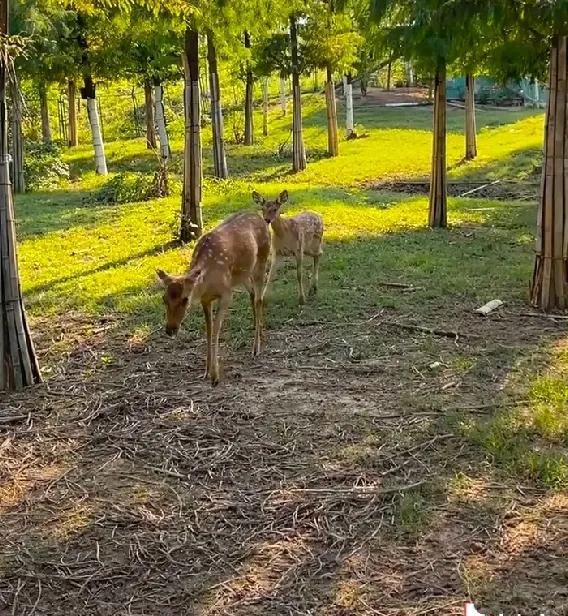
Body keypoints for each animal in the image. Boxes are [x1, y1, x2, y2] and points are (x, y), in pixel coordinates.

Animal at [155, 212, 270, 384]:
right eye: (164, 299)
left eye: (185, 299)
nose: (170, 329)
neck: (206, 285)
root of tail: (262, 218)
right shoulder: (205, 300)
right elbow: (208, 331)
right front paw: (206, 372)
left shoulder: (226, 293)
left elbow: (216, 330)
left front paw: (215, 376)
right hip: (243, 275)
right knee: (253, 293)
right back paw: (258, 335)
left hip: (262, 260)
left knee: (259, 298)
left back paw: (256, 348)